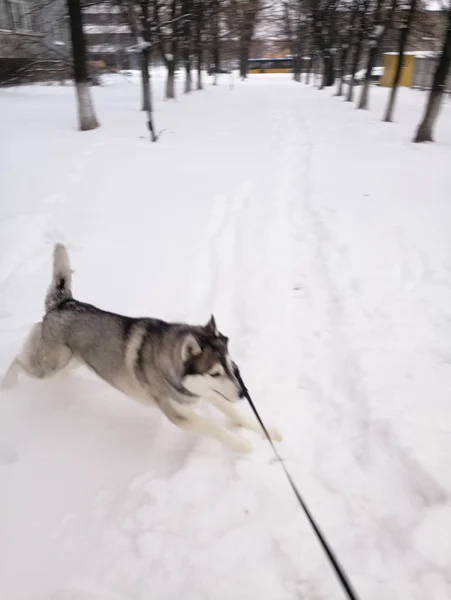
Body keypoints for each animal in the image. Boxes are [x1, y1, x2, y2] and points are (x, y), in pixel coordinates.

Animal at [1, 241, 280, 452]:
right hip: (49, 366)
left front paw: (269, 433)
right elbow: (214, 428)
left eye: (232, 366)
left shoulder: (208, 393)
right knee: (19, 360)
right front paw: (245, 447)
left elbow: (239, 414)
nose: (243, 393)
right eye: (214, 372)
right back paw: (7, 385)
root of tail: (64, 303)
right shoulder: (179, 414)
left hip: (71, 360)